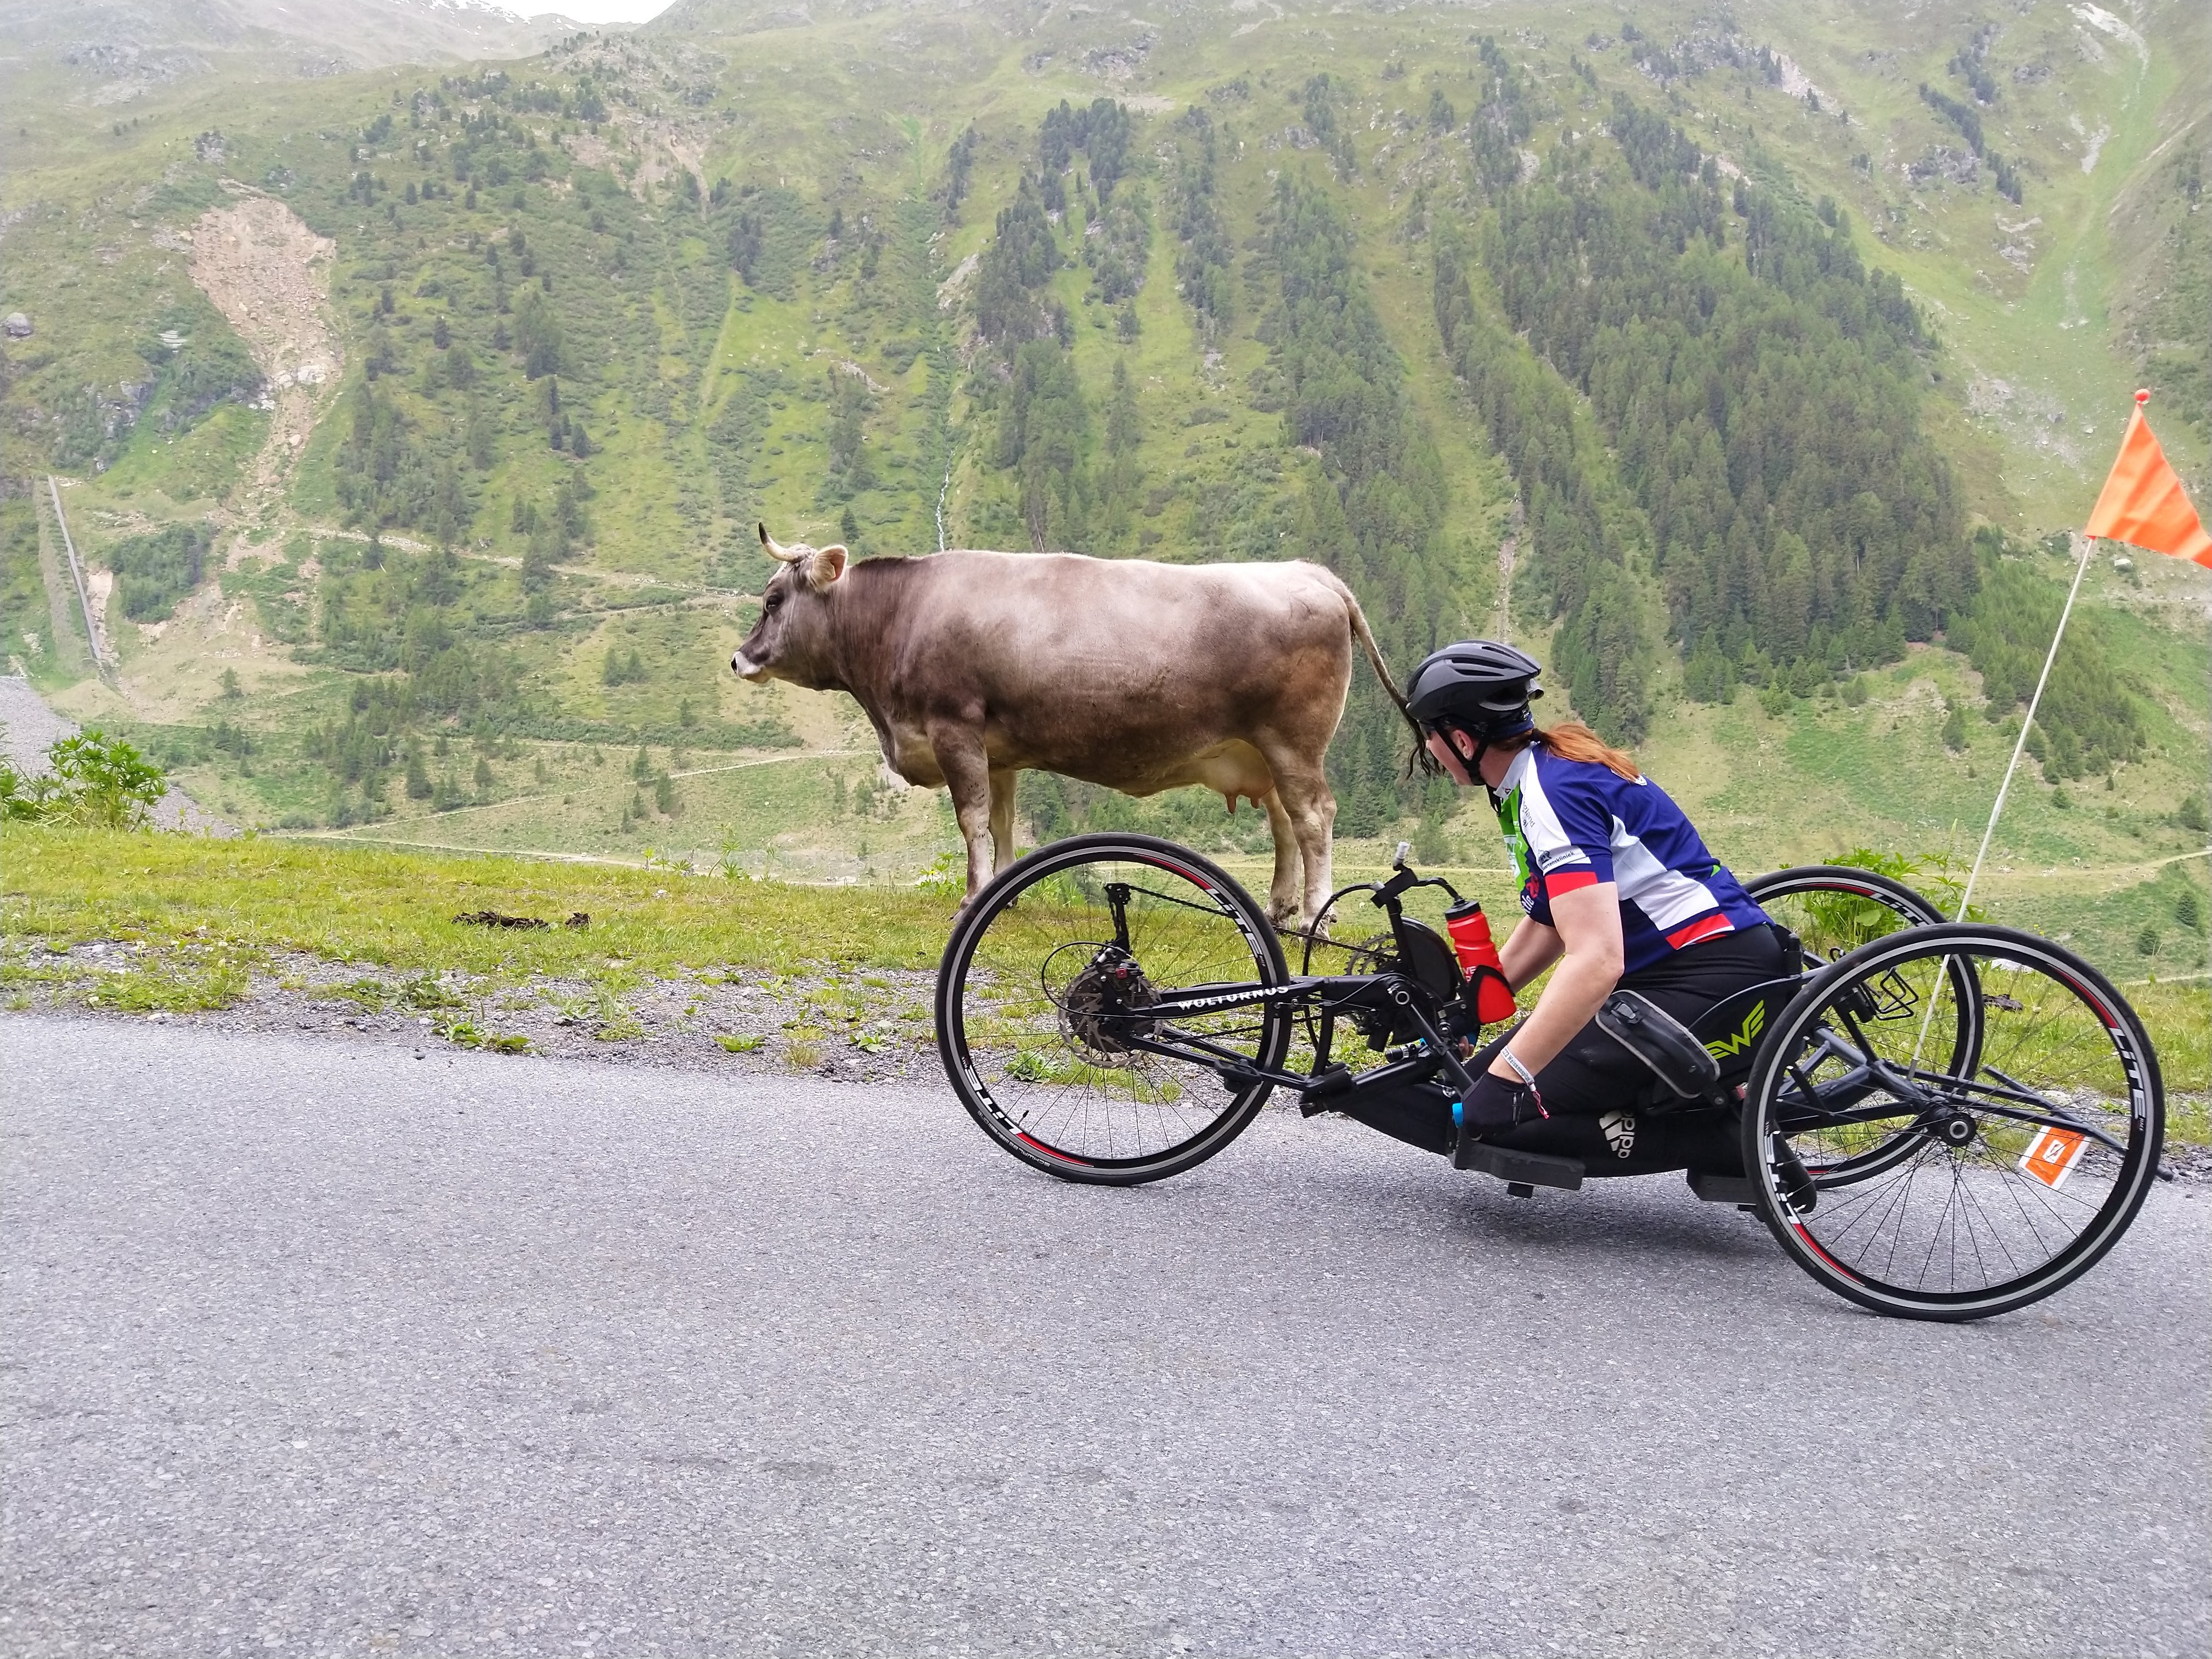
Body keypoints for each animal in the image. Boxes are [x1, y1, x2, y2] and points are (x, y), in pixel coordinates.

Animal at [730, 524, 1422, 928]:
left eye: (773, 601)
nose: (739, 659)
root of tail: (1309, 572)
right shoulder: (997, 751)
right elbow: (1001, 824)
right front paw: (1002, 895)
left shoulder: (956, 728)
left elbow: (971, 820)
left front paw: (970, 899)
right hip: (1263, 750)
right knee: (1284, 821)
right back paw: (1280, 910)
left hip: (1295, 743)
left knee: (1313, 819)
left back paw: (1313, 919)